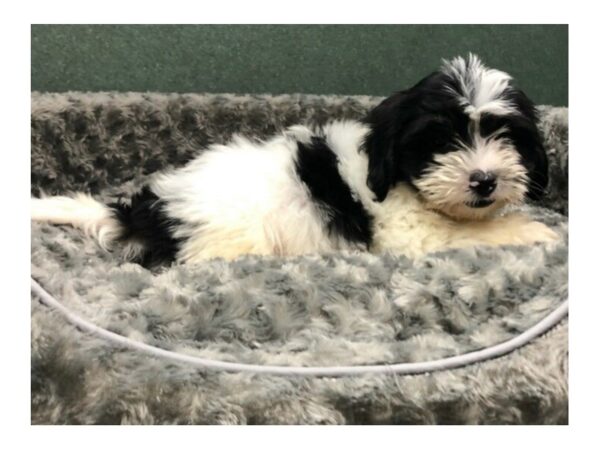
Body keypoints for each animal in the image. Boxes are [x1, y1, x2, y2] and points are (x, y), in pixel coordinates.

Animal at [31, 55, 556, 268]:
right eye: (440, 141)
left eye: (505, 136)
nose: (484, 181)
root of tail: (146, 211)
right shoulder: (412, 234)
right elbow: (472, 234)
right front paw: (535, 231)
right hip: (230, 242)